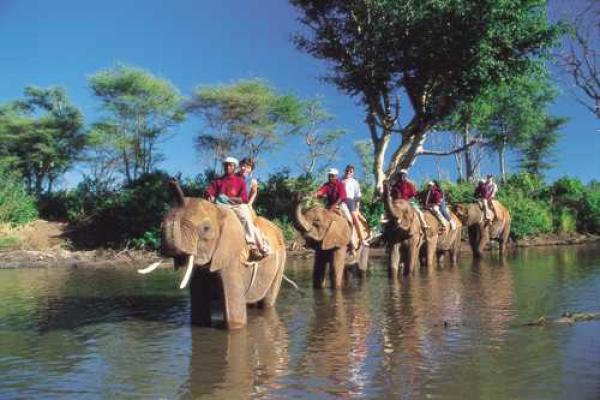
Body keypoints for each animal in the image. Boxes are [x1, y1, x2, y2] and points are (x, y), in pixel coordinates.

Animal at [138, 180, 286, 330]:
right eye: (160, 224)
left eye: (206, 229)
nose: (172, 180)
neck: (218, 210)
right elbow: (199, 314)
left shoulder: (230, 256)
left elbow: (234, 319)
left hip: (281, 260)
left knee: (267, 302)